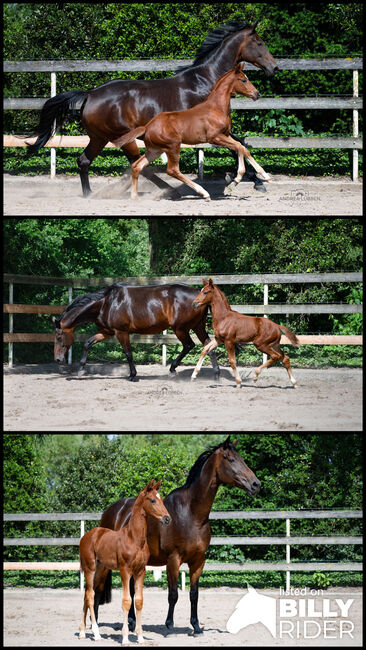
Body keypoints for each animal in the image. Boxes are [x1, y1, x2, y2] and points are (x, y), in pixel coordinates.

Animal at [52, 280, 219, 378]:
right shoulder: (107, 332)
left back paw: (173, 369)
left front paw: (132, 375)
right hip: (198, 326)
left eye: (59, 337)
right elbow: (88, 343)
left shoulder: (121, 332)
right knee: (208, 346)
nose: (58, 359)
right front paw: (81, 369)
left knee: (189, 345)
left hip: (180, 329)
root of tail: (200, 296)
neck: (106, 303)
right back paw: (215, 374)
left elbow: (128, 353)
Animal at [78, 478, 170, 640]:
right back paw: (96, 633)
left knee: (88, 594)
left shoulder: (140, 571)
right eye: (152, 500)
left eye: (161, 499)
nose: (167, 519)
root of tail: (86, 536)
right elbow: (127, 601)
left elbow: (138, 601)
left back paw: (83, 632)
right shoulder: (125, 570)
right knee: (90, 595)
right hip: (90, 568)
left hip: (100, 570)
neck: (134, 538)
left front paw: (140, 638)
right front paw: (125, 637)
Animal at [94, 436, 260, 632]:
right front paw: (169, 624)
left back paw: (132, 622)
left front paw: (196, 626)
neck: (191, 515)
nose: (256, 484)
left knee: (132, 589)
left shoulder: (198, 561)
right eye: (231, 459)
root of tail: (112, 511)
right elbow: (173, 594)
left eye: (242, 459)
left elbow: (194, 594)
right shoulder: (173, 560)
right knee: (98, 588)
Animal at [113, 63, 270, 201]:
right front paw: (237, 178)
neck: (216, 108)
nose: (257, 94)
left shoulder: (225, 135)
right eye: (244, 80)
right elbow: (238, 147)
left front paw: (265, 176)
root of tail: (147, 126)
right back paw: (204, 193)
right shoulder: (215, 138)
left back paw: (135, 197)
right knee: (172, 170)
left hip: (155, 150)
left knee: (137, 166)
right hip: (173, 146)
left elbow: (242, 148)